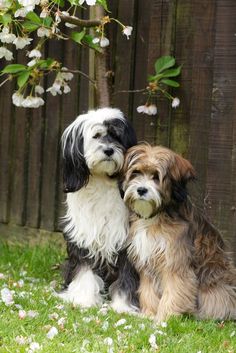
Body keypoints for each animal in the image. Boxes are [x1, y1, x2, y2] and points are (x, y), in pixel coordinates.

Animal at [58, 107, 139, 310]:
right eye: (96, 136)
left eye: (117, 136)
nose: (109, 150)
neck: (102, 179)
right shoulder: (83, 234)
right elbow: (84, 269)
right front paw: (83, 299)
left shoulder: (124, 239)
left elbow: (126, 275)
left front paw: (123, 306)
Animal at [121, 144, 236, 322]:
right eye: (136, 172)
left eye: (156, 176)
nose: (141, 190)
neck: (156, 216)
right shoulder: (146, 259)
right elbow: (148, 291)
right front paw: (149, 314)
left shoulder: (175, 261)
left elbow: (174, 291)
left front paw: (164, 318)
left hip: (214, 288)